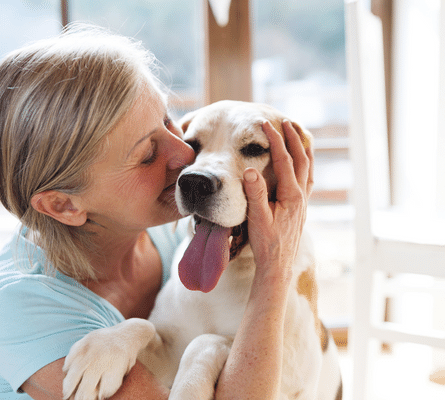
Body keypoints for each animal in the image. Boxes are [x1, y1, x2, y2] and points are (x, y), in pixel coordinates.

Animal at [62, 101, 342, 400]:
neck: (224, 280)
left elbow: (206, 340)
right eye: (191, 144)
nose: (195, 182)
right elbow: (142, 324)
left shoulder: (290, 375)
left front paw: (189, 388)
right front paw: (104, 349)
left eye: (255, 148)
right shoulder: (167, 354)